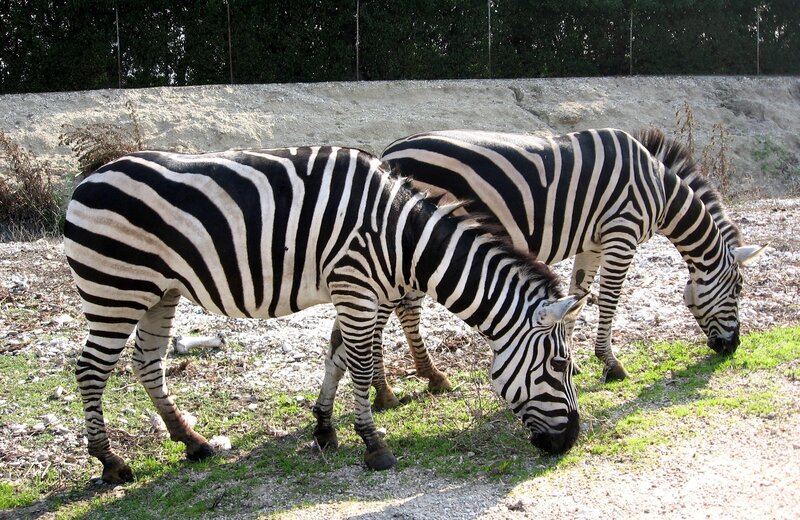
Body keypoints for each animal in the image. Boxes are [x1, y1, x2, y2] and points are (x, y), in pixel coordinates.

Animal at [63, 146, 587, 483]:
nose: (570, 442)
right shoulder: (356, 286)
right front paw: (374, 445)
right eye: (561, 366)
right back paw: (110, 463)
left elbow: (337, 356)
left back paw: (192, 441)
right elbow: (359, 363)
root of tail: (86, 180)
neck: (401, 239)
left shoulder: (358, 291)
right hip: (116, 288)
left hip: (160, 290)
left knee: (147, 361)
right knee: (91, 369)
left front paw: (325, 428)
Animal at [367, 128, 765, 408]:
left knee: (399, 311)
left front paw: (570, 362)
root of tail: (389, 151)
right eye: (738, 291)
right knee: (389, 313)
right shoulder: (621, 232)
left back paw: (421, 379)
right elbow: (610, 300)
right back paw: (390, 390)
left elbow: (578, 298)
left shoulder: (592, 244)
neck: (661, 191)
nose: (732, 347)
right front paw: (611, 364)